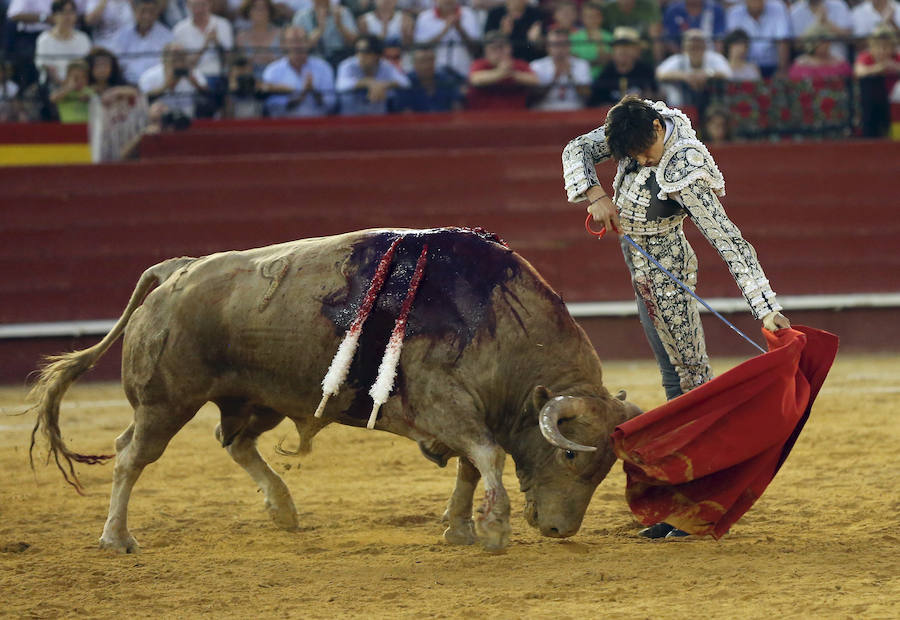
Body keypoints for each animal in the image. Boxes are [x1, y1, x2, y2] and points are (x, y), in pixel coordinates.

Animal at [28, 226, 644, 552]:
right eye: (570, 455)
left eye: (604, 468)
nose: (561, 529)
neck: (496, 319)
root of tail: (178, 270)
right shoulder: (446, 407)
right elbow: (488, 457)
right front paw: (493, 529)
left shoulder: (471, 415)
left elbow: (474, 465)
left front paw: (461, 526)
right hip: (166, 401)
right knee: (131, 454)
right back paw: (116, 538)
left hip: (258, 398)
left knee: (236, 443)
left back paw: (283, 509)